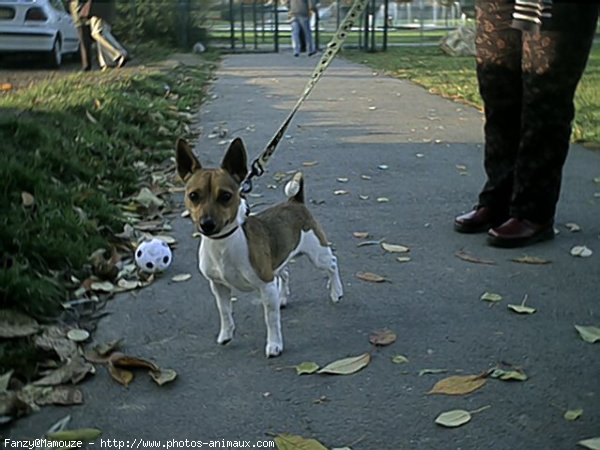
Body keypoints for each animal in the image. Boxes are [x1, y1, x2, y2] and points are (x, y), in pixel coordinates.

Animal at [176, 139, 342, 356]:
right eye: (194, 195)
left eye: (226, 196)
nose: (207, 224)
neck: (224, 242)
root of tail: (295, 201)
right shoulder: (219, 286)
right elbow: (225, 312)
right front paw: (226, 333)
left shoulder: (266, 286)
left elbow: (271, 320)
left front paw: (274, 344)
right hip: (277, 263)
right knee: (285, 273)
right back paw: (283, 298)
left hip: (318, 254)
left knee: (332, 264)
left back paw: (336, 291)